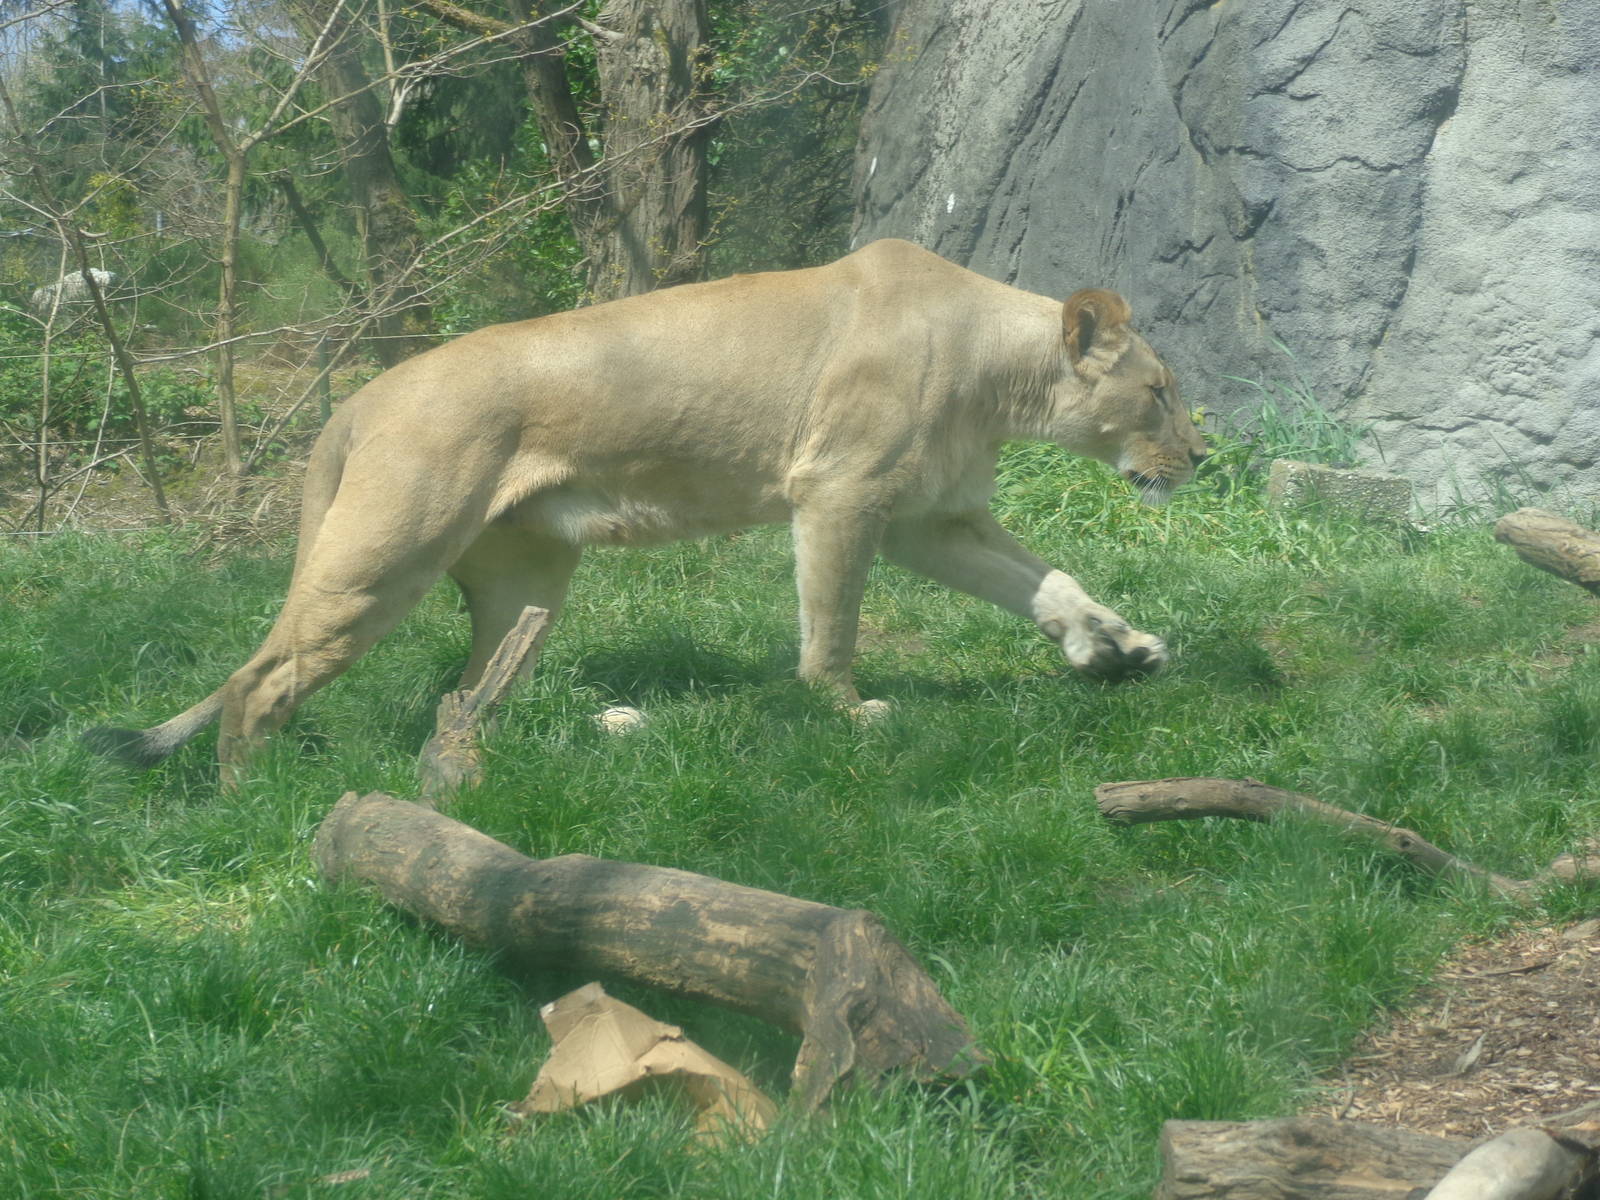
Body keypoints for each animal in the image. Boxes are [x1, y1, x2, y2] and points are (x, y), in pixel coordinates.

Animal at [85, 239, 1206, 781]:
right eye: (1159, 390)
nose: (1200, 454)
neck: (1001, 377)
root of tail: (360, 398)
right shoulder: (839, 492)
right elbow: (831, 628)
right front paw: (848, 715)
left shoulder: (932, 517)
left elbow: (1049, 582)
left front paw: (1121, 649)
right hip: (385, 557)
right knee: (258, 681)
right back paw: (250, 799)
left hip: (525, 581)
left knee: (469, 691)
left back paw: (588, 735)